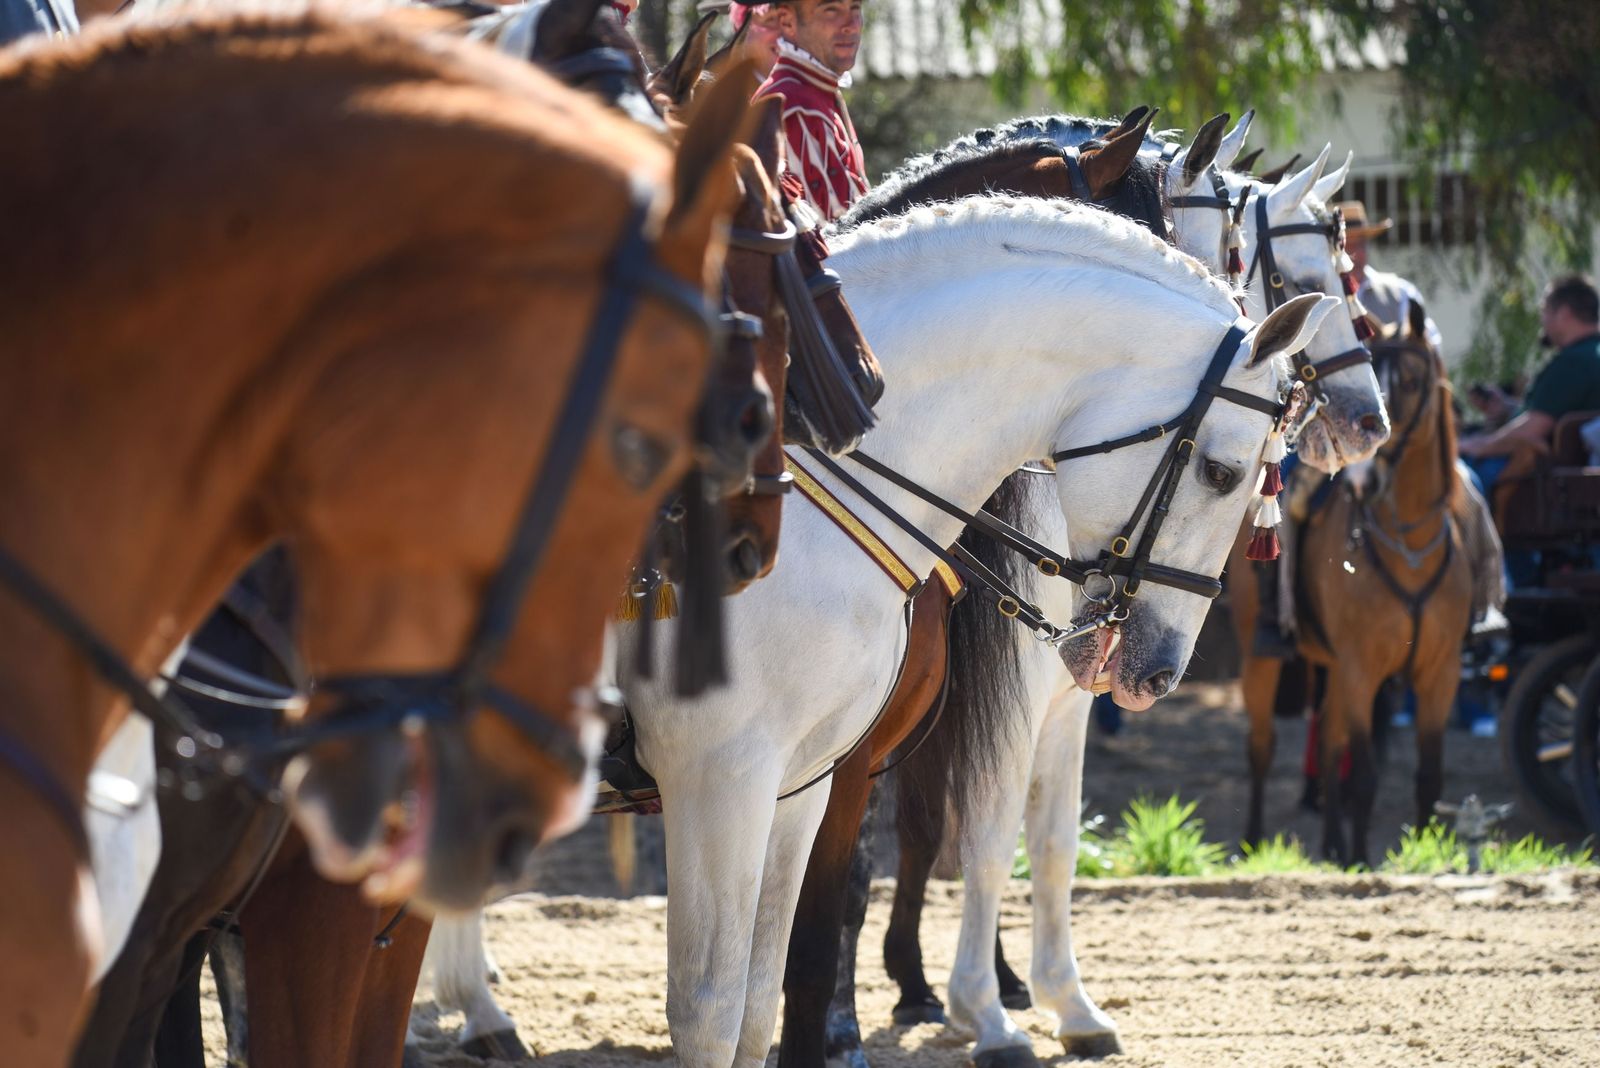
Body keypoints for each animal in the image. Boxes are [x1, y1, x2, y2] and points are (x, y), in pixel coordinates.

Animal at [620, 193, 1338, 1068]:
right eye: (1222, 472)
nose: (1160, 673)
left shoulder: (805, 777)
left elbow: (767, 994)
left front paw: (1051, 1005)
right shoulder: (722, 777)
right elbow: (719, 1007)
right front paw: (989, 1016)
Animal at [1231, 301, 1473, 867]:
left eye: (1412, 380)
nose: (1367, 479)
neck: (1409, 545)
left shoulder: (1440, 674)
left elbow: (1428, 778)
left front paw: (1422, 854)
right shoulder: (1363, 668)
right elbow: (1363, 775)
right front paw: (1363, 858)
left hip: (1335, 670)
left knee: (1329, 745)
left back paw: (1332, 844)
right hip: (1263, 657)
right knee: (1262, 746)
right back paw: (1255, 840)